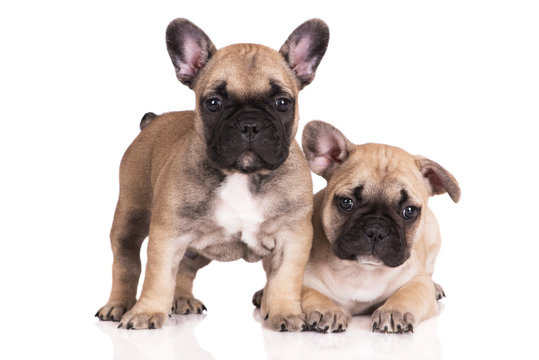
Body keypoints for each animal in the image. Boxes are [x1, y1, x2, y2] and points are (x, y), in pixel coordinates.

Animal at [95, 17, 332, 332]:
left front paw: (284, 313)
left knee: (184, 266)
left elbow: (285, 279)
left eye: (283, 102)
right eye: (214, 103)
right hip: (130, 214)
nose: (250, 124)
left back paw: (182, 300)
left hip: (196, 248)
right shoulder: (167, 234)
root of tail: (152, 122)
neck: (242, 175)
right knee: (126, 261)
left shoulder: (291, 237)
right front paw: (147, 312)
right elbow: (158, 277)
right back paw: (118, 305)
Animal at [300, 121, 460, 334]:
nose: (376, 230)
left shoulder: (418, 282)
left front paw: (394, 310)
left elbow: (409, 293)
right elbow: (307, 292)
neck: (363, 271)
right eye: (346, 202)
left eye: (409, 211)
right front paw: (327, 309)